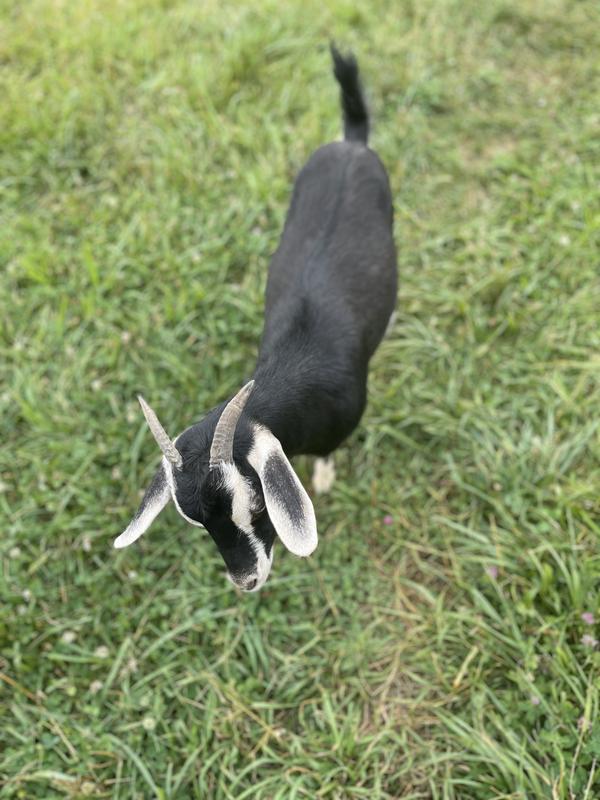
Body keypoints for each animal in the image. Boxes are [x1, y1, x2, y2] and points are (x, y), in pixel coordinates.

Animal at [114, 45, 397, 592]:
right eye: (198, 523)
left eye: (260, 508)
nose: (246, 581)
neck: (292, 372)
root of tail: (352, 144)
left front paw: (325, 478)